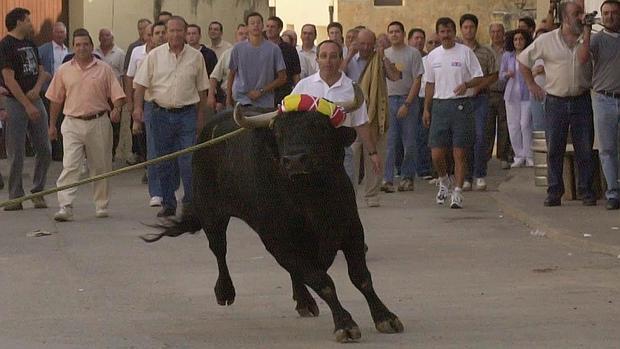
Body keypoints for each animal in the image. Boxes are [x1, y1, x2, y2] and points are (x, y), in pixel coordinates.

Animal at [146, 108, 406, 340]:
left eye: (319, 128)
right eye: (279, 134)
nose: (294, 160)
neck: (312, 196)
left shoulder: (352, 230)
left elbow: (361, 277)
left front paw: (386, 317)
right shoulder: (278, 242)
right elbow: (322, 280)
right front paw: (345, 324)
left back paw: (304, 301)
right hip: (211, 213)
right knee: (219, 250)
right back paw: (225, 291)